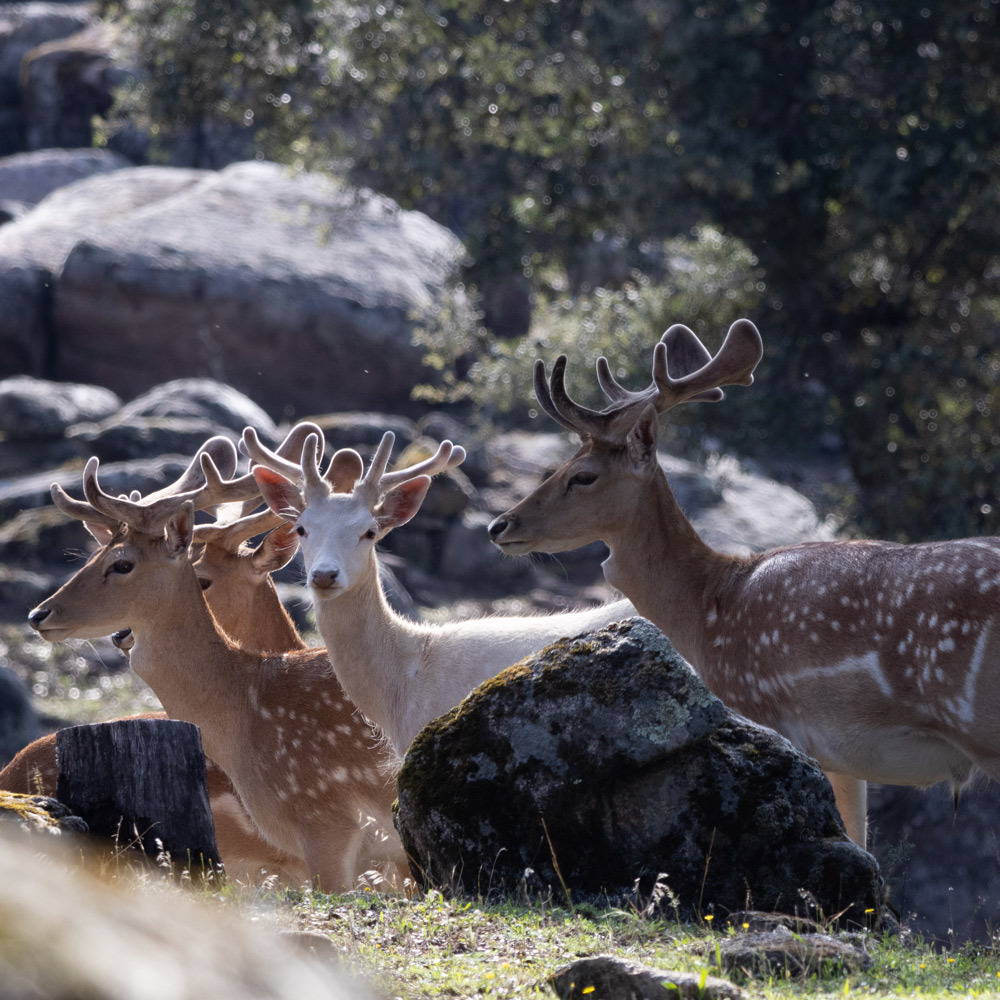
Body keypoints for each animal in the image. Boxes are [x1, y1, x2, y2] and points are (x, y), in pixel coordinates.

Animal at [486, 318, 1000, 850]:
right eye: (561, 465)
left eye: (583, 476)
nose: (499, 526)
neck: (707, 605)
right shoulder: (844, 755)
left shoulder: (773, 715)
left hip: (983, 720)